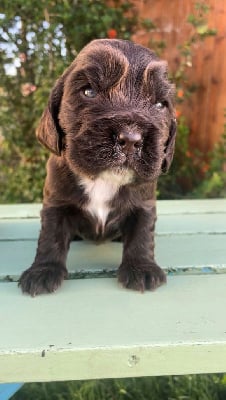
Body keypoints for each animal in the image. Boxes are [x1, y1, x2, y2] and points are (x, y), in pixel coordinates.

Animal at [18, 39, 177, 296]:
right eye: (89, 91)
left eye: (160, 104)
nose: (131, 138)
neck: (103, 180)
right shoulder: (56, 203)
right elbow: (50, 235)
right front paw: (43, 270)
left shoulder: (144, 204)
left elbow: (142, 234)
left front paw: (141, 267)